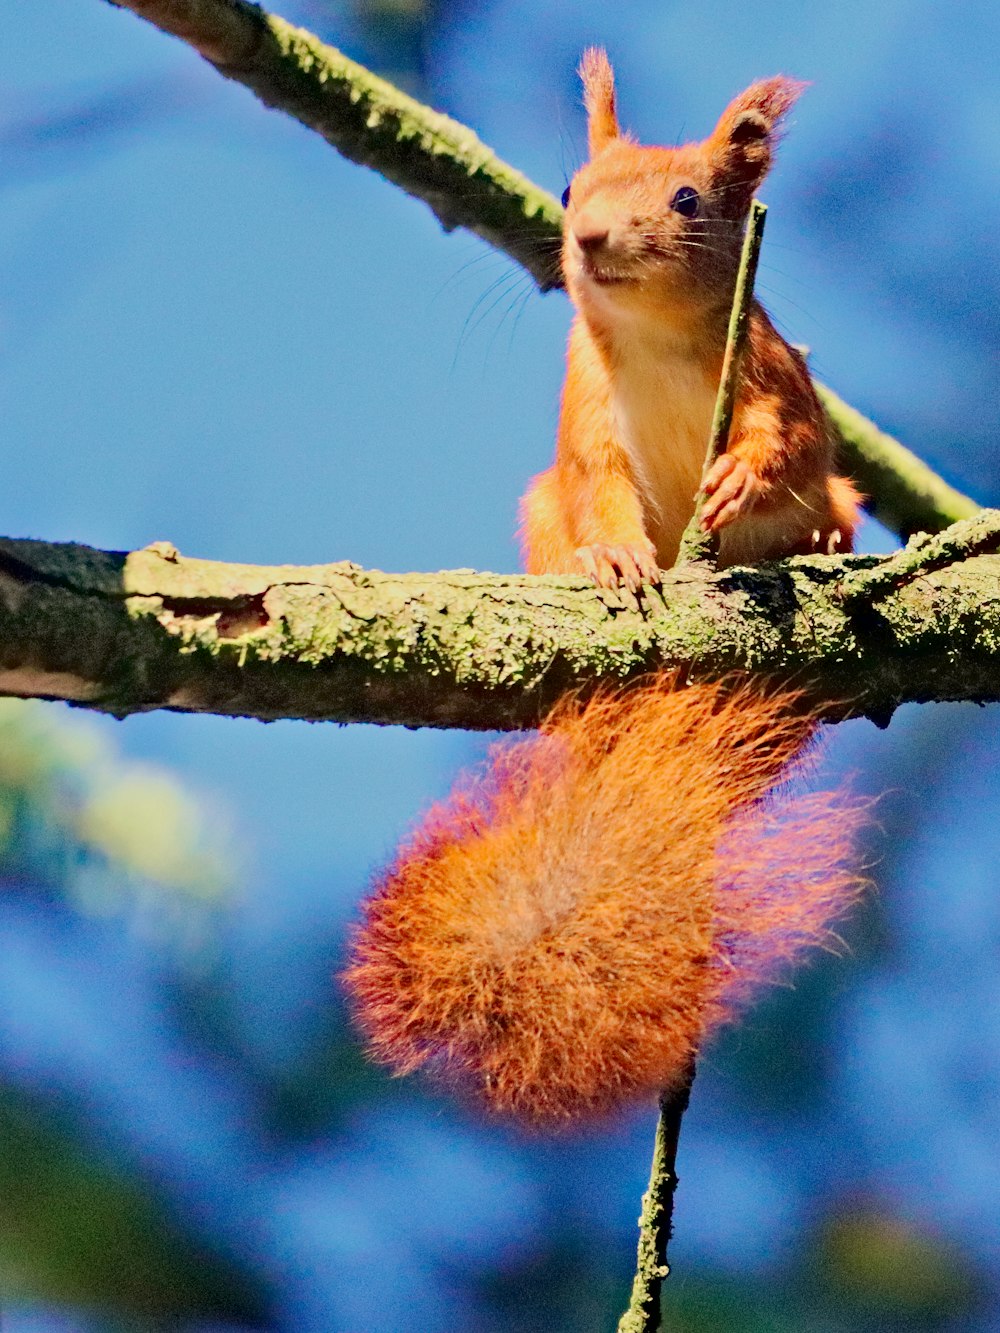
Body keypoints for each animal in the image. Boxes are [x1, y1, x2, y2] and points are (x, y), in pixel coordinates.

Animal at [346, 54, 869, 1135]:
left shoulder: (775, 378)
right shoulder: (585, 413)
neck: (657, 338)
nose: (588, 240)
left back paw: (822, 539)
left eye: (689, 199)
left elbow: (791, 443)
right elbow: (602, 487)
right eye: (569, 190)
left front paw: (743, 482)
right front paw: (622, 560)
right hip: (538, 509)